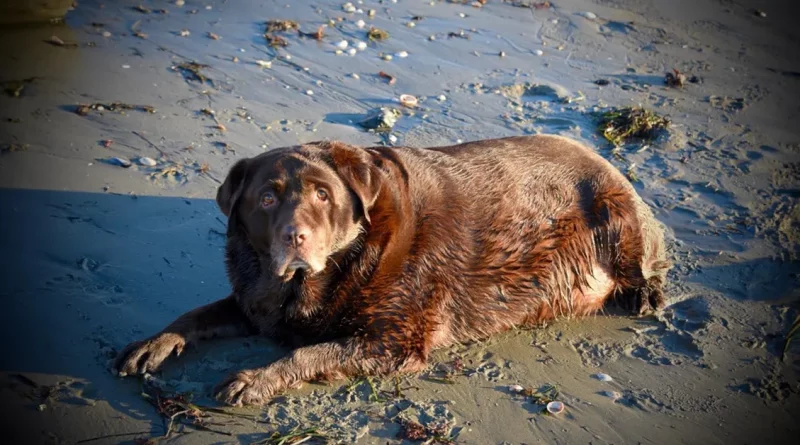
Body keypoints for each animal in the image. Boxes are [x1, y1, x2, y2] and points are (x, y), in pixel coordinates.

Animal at [115, 135, 672, 406]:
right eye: (267, 198)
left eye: (323, 194)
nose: (296, 237)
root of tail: (599, 154)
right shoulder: (254, 299)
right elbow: (196, 314)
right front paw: (154, 343)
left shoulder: (394, 341)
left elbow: (309, 352)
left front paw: (255, 379)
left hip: (617, 211)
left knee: (648, 263)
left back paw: (646, 295)